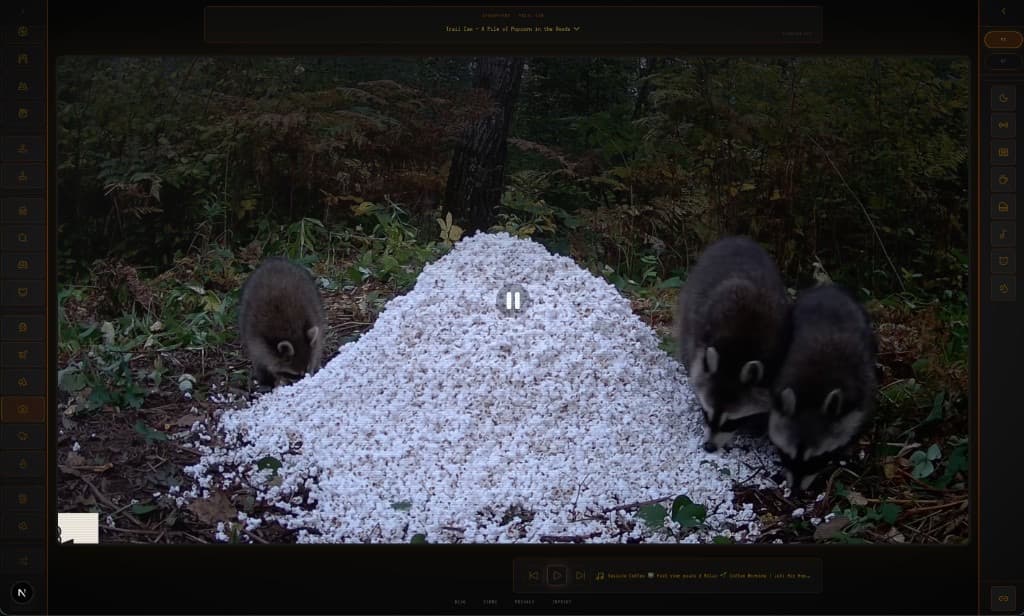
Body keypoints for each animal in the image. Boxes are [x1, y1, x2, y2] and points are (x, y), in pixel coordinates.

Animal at [238, 257, 327, 389]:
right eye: (295, 375)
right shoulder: (256, 339)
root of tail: (275, 260)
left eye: (308, 369)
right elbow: (259, 359)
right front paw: (266, 380)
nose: (305, 383)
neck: (292, 333)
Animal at [674, 236, 789, 453]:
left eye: (731, 422)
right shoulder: (701, 338)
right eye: (706, 413)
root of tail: (739, 239)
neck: (736, 354)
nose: (709, 447)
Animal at [768, 283, 878, 496]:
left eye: (815, 460)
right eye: (788, 456)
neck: (812, 394)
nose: (795, 492)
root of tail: (828, 287)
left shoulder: (859, 394)